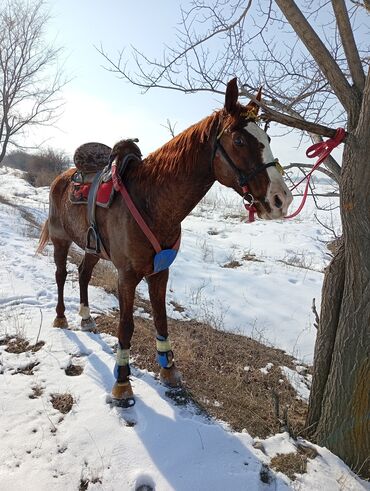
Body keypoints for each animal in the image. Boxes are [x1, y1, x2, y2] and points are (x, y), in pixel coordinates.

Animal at [36, 78, 292, 408]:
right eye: (238, 140)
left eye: (267, 137)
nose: (281, 199)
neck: (153, 201)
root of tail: (61, 177)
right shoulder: (127, 276)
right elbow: (127, 326)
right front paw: (122, 384)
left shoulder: (160, 272)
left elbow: (161, 319)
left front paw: (169, 370)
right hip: (60, 239)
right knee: (60, 275)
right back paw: (61, 317)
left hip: (93, 248)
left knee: (82, 274)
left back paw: (86, 317)